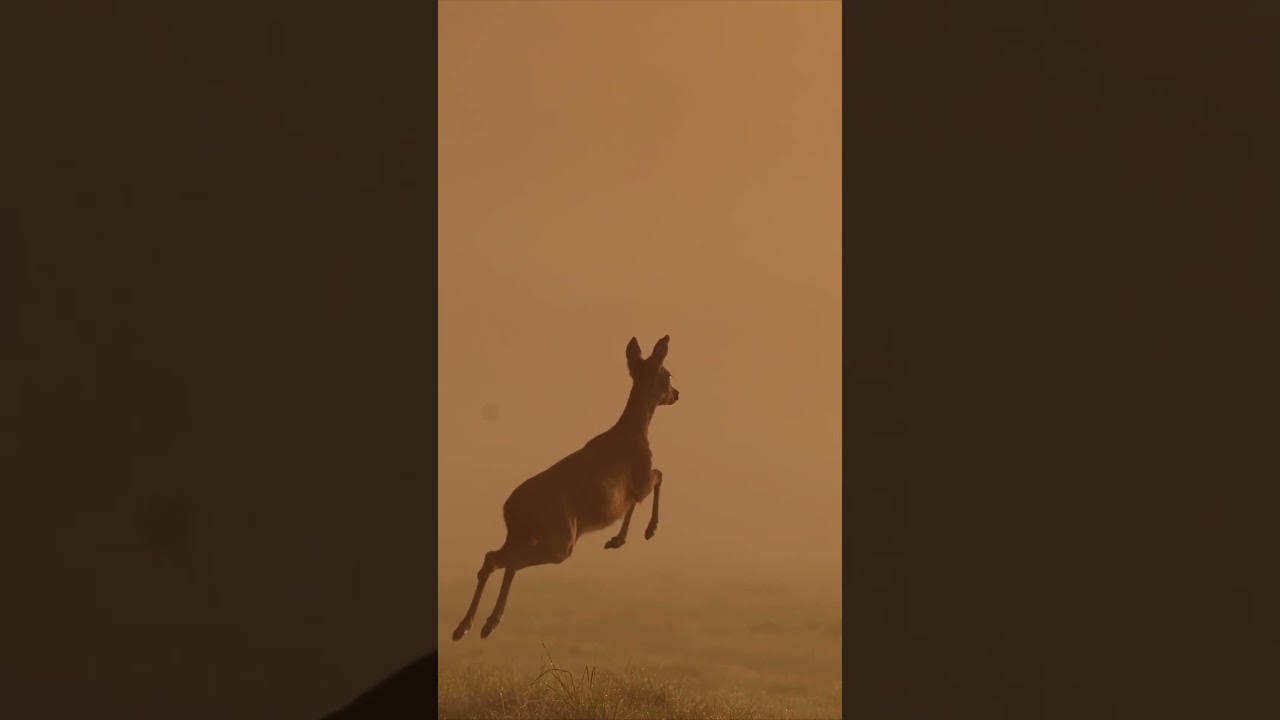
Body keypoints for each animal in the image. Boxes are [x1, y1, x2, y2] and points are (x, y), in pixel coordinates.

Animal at [451, 335, 680, 641]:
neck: (635, 432)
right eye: (668, 374)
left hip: (523, 535)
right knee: (512, 562)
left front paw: (617, 539)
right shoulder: (641, 478)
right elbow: (658, 476)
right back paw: (488, 624)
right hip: (560, 538)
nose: (677, 394)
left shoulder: (631, 490)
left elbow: (634, 500)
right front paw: (648, 531)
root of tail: (511, 509)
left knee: (493, 559)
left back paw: (465, 627)